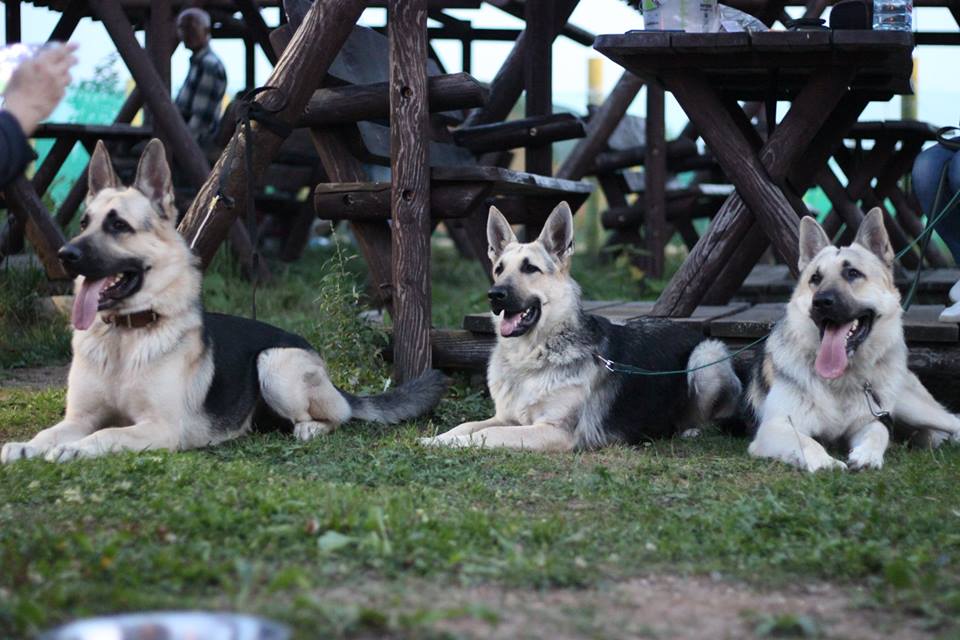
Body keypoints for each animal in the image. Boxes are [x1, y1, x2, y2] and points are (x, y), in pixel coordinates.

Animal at [416, 204, 740, 450]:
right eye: (499, 270)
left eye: (530, 268)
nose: (494, 295)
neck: (531, 356)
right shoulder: (509, 417)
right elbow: (468, 424)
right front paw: (437, 438)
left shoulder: (554, 431)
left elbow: (486, 433)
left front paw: (452, 444)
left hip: (707, 355)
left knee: (704, 417)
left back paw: (688, 429)